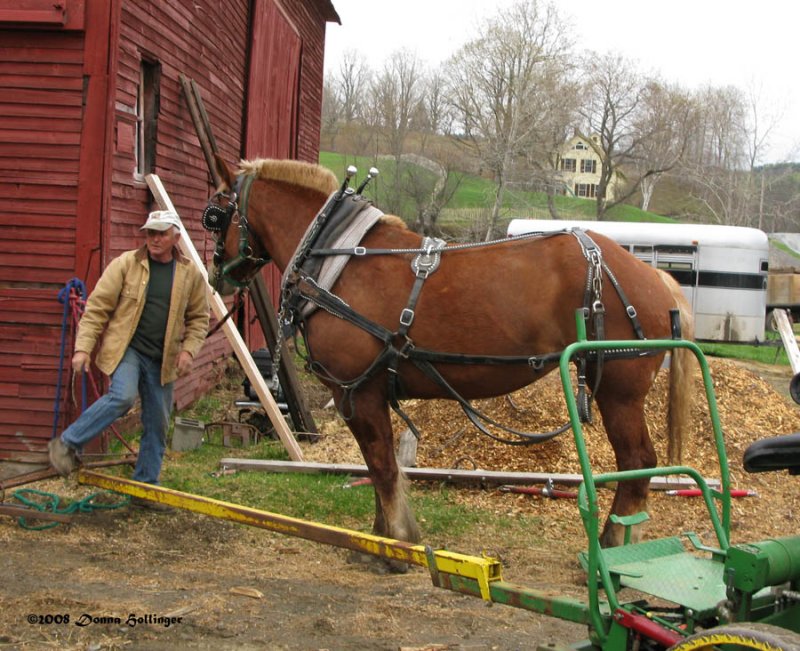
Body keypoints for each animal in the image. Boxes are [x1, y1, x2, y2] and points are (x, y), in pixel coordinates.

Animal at [205, 157, 692, 552]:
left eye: (215, 214)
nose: (218, 276)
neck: (337, 260)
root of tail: (653, 276)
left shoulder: (355, 391)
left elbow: (382, 465)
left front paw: (395, 543)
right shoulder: (368, 394)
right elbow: (379, 466)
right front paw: (381, 535)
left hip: (619, 392)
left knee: (638, 463)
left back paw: (614, 543)